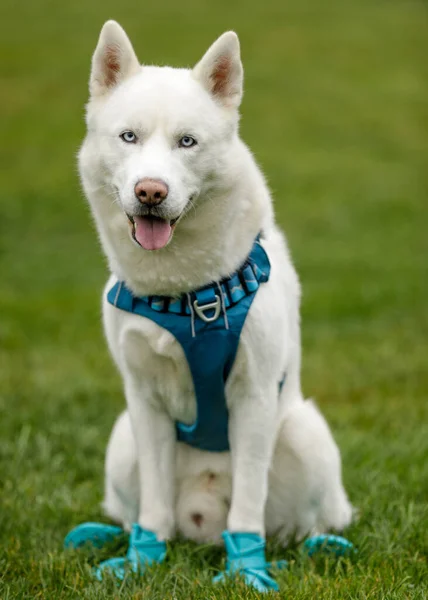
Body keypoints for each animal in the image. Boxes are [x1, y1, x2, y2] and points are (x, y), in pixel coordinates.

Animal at [79, 21, 352, 560]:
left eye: (187, 142)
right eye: (128, 137)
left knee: (304, 522)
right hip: (122, 442)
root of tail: (201, 521)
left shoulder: (254, 395)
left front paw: (246, 565)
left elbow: (247, 504)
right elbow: (153, 508)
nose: (150, 191)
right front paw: (144, 558)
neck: (187, 291)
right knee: (134, 512)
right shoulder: (143, 400)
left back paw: (313, 545)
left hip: (304, 433)